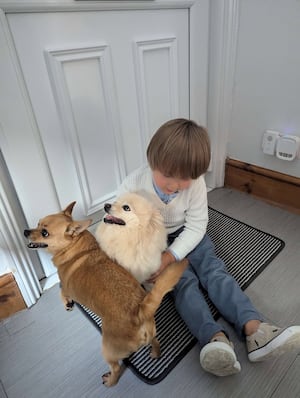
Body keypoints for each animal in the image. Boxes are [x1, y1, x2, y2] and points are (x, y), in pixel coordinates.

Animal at [24, 202, 188, 386]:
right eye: (37, 223)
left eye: (44, 233)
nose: (25, 232)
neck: (75, 247)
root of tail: (139, 312)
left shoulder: (65, 286)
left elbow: (62, 293)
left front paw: (67, 304)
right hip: (151, 334)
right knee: (156, 341)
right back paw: (155, 353)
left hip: (108, 351)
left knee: (115, 368)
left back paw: (110, 381)